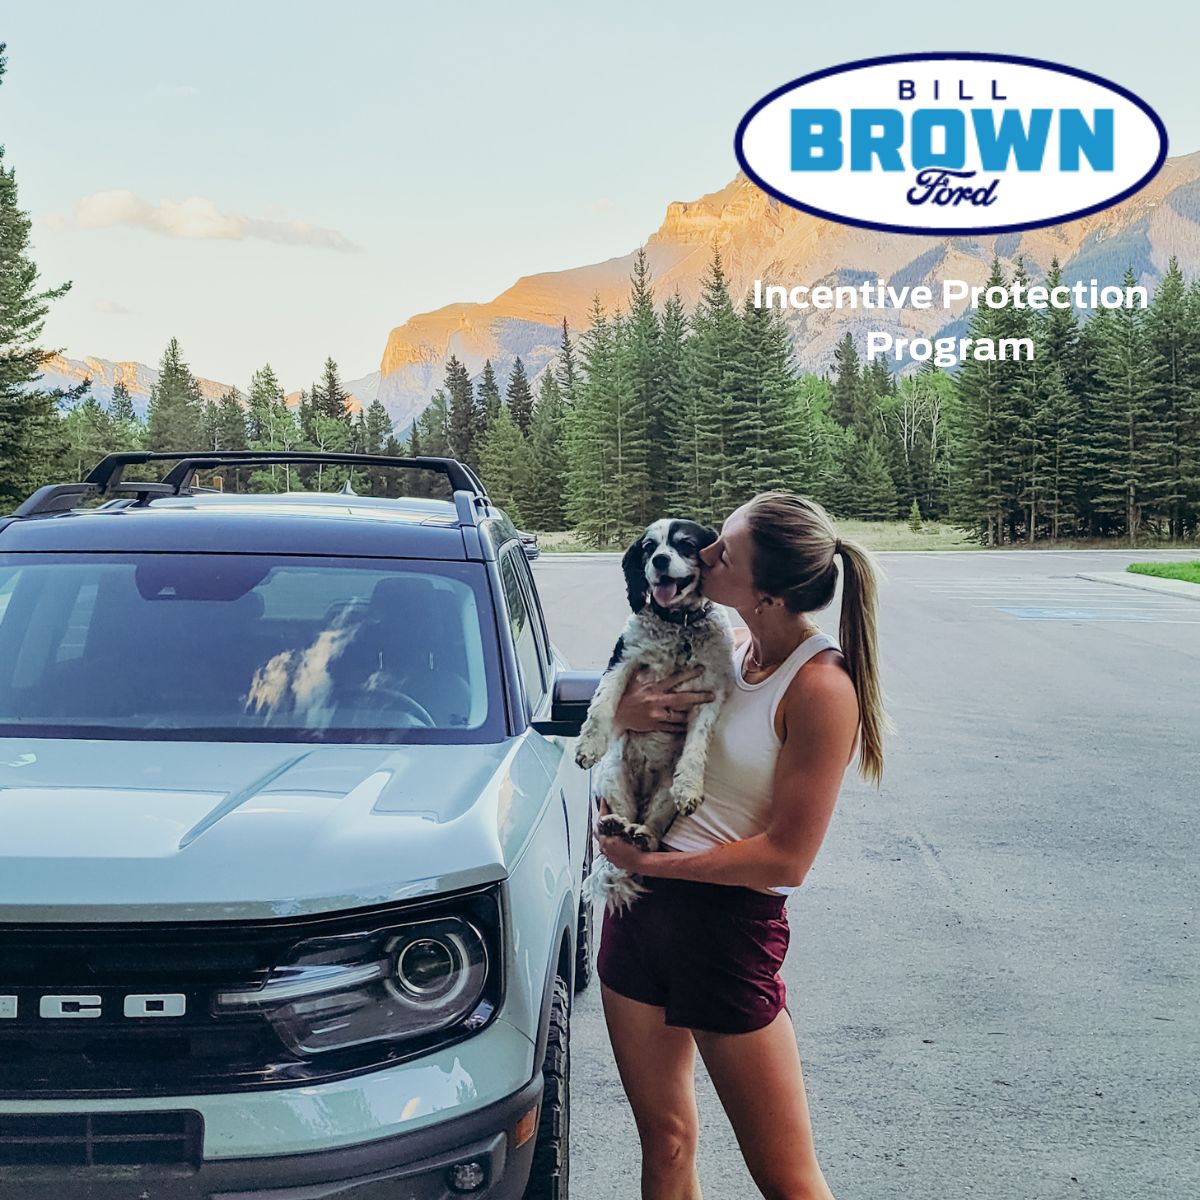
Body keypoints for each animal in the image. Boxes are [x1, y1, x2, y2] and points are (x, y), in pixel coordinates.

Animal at [576, 518, 734, 907]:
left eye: (686, 545)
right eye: (649, 548)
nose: (660, 560)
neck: (680, 625)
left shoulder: (710, 691)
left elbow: (697, 744)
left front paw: (690, 786)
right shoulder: (622, 661)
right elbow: (602, 704)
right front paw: (588, 745)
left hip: (662, 799)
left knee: (651, 830)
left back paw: (641, 835)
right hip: (613, 778)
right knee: (622, 816)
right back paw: (615, 825)